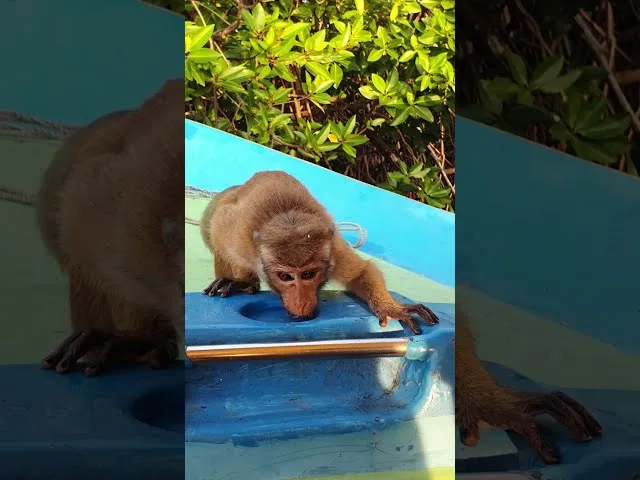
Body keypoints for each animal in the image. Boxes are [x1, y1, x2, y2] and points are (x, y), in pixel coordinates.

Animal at [199, 170, 438, 334]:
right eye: (285, 276)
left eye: (308, 274)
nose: (301, 303)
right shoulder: (237, 236)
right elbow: (220, 229)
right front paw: (244, 282)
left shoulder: (333, 251)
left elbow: (361, 272)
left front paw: (390, 308)